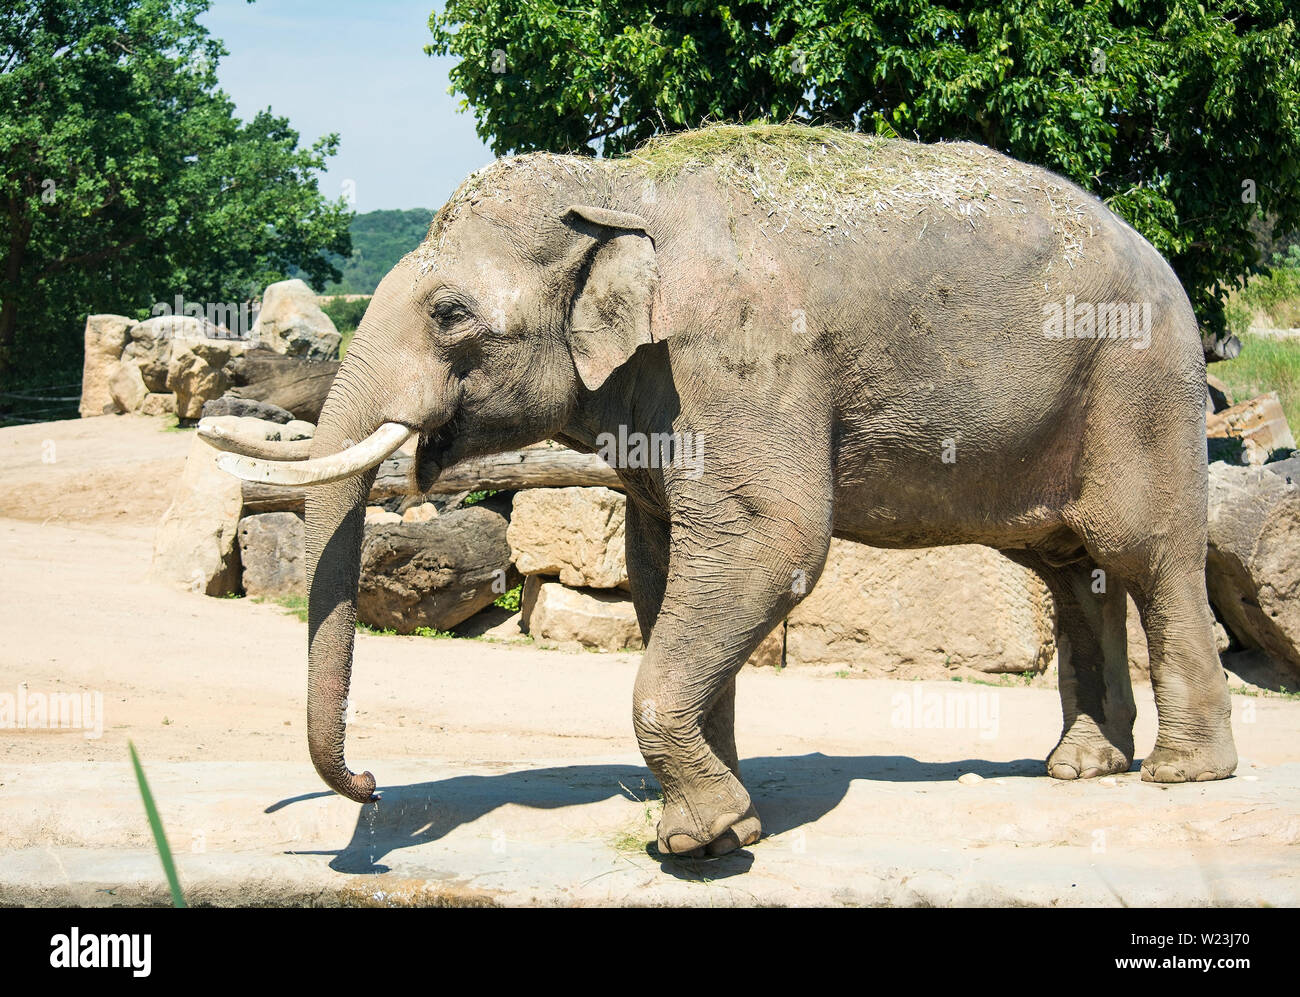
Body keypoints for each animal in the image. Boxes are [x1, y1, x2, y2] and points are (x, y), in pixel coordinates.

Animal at [208, 124, 1237, 858]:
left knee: (1145, 553)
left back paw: (1181, 774)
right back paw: (1081, 767)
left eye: (451, 313)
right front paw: (731, 821)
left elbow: (769, 544)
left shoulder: (742, 360)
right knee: (1070, 567)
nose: (375, 785)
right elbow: (664, 566)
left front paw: (699, 839)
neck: (616, 185)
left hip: (1140, 385)